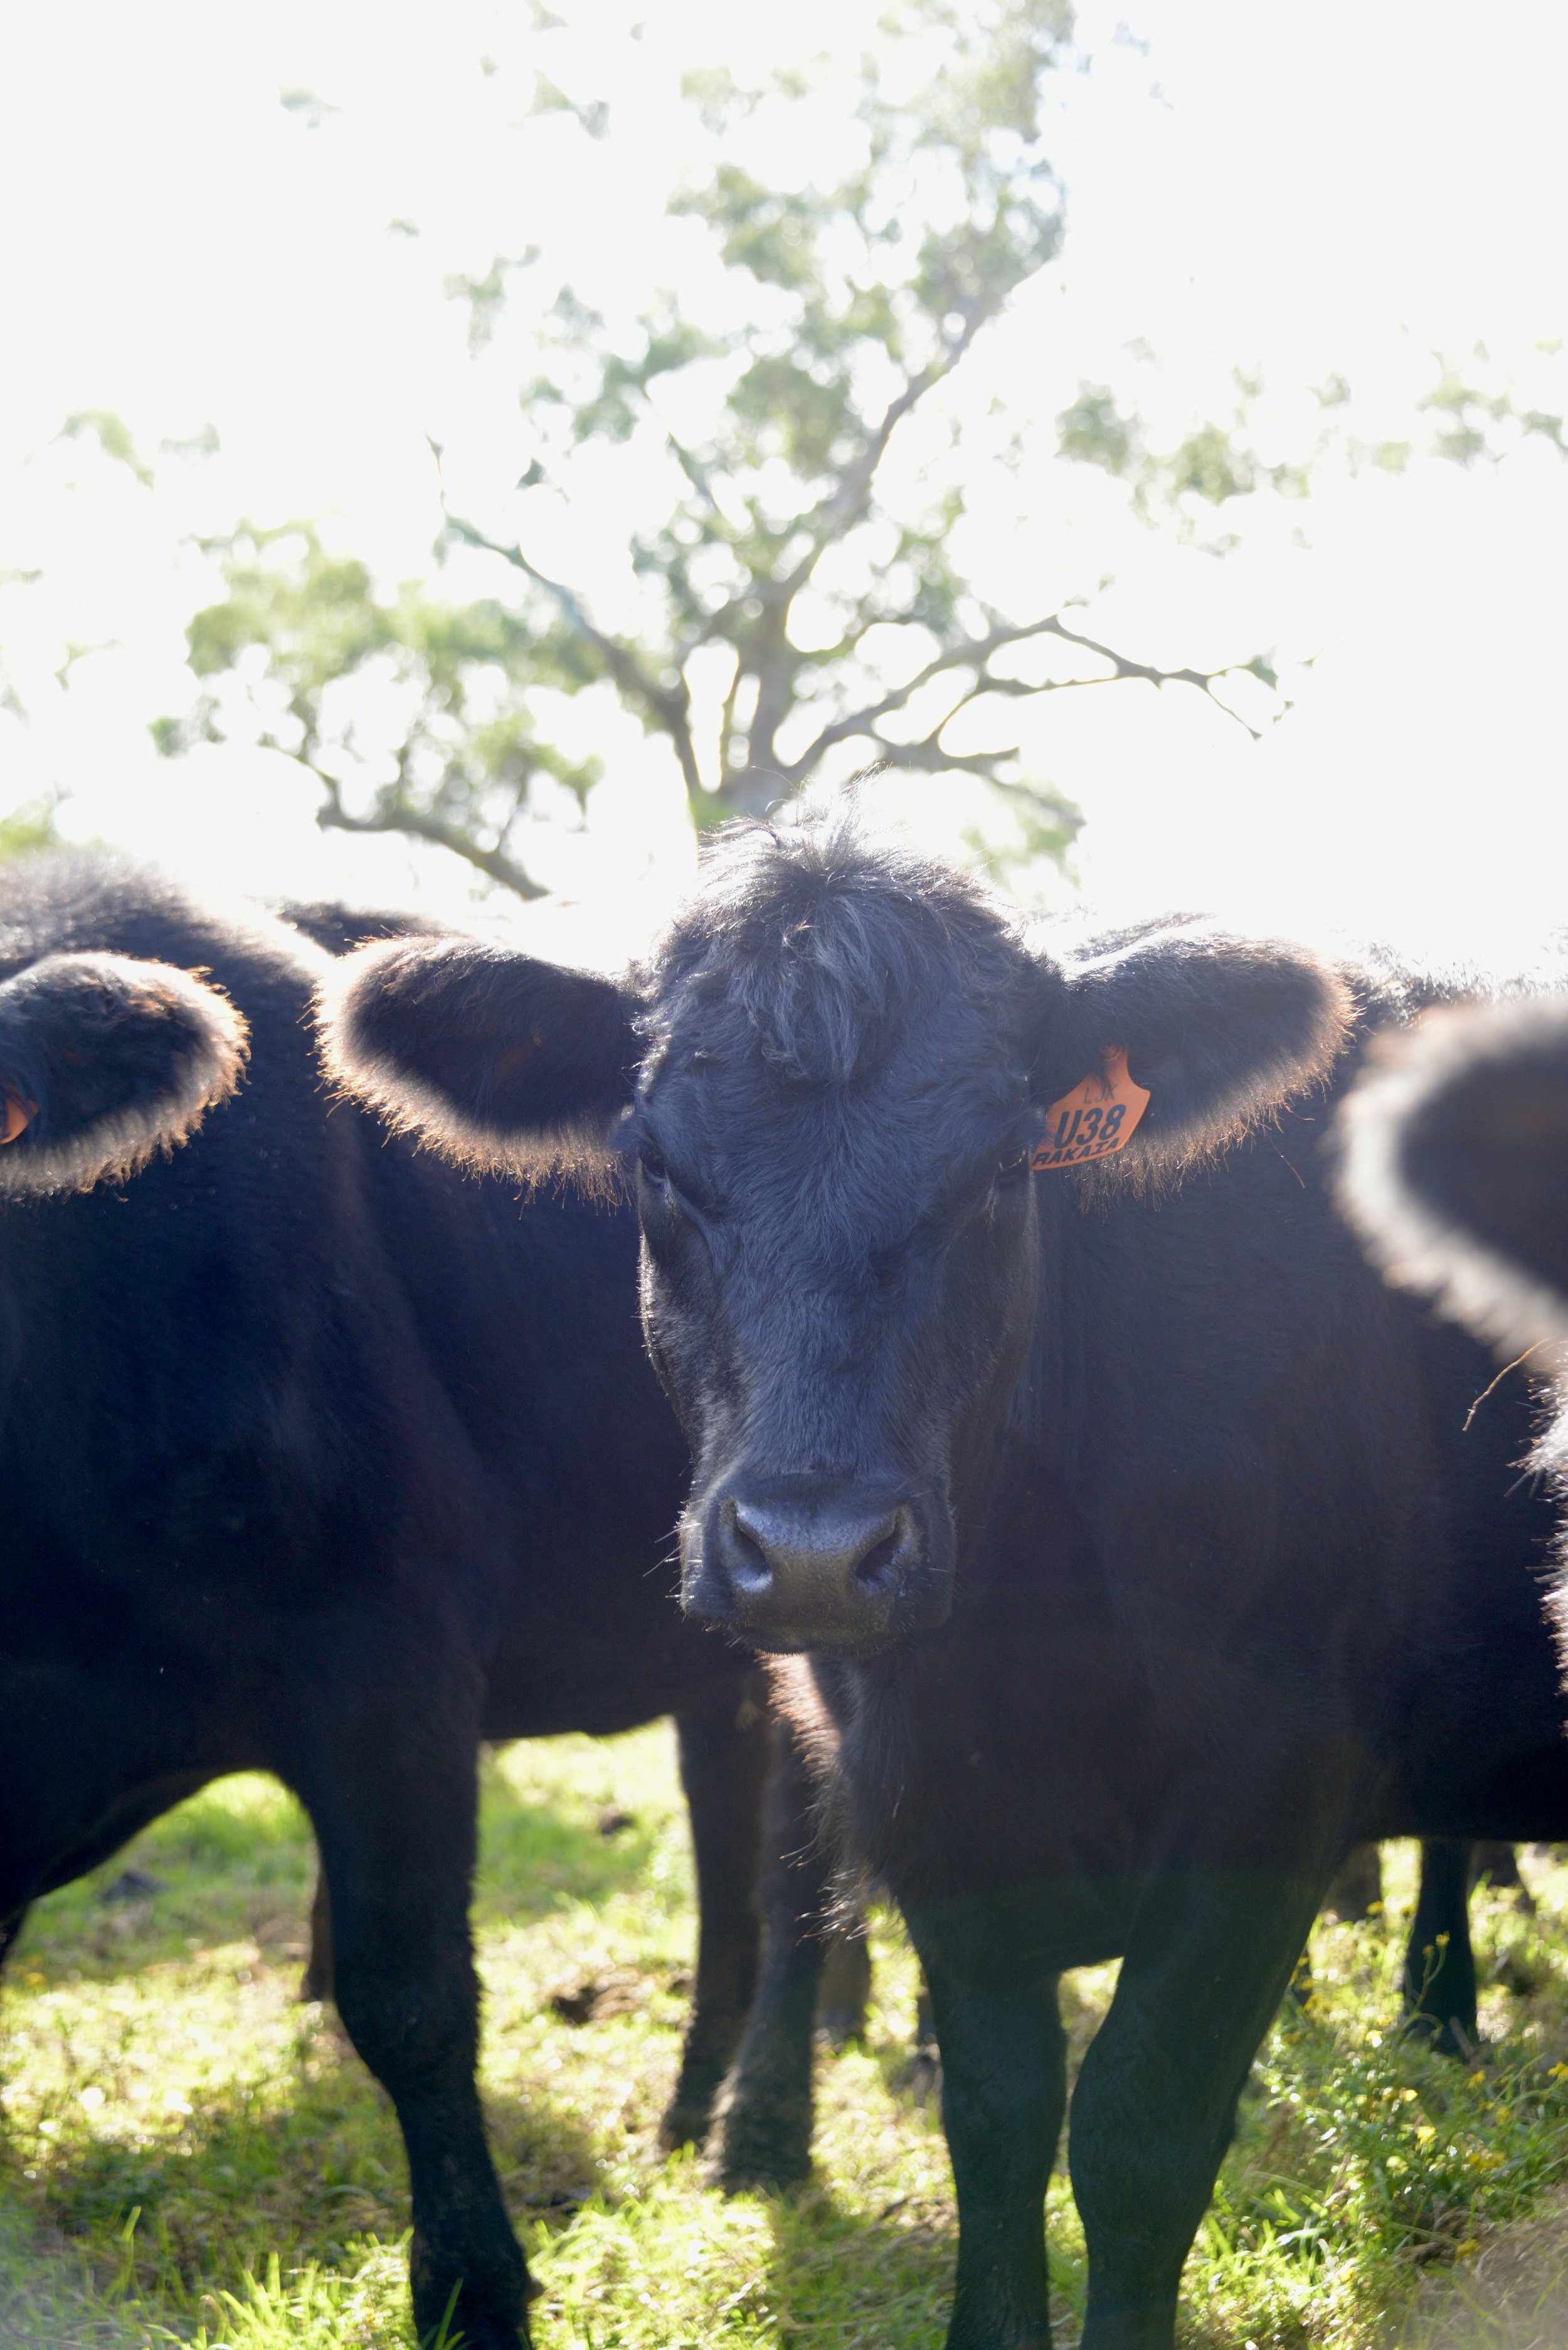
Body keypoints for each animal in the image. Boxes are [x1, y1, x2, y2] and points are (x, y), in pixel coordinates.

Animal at [0, 854, 861, 2350]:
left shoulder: (383, 1656)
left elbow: (409, 1997)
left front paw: (473, 2287)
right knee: (724, 1844)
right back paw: (690, 2108)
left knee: (792, 1855)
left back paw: (762, 2134)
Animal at [322, 819, 1568, 2350]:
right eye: (655, 1168)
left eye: (999, 1166)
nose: (812, 1547)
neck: (1016, 1645)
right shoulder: (920, 1798)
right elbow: (999, 2119)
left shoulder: (1276, 1770)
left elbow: (1138, 2128)